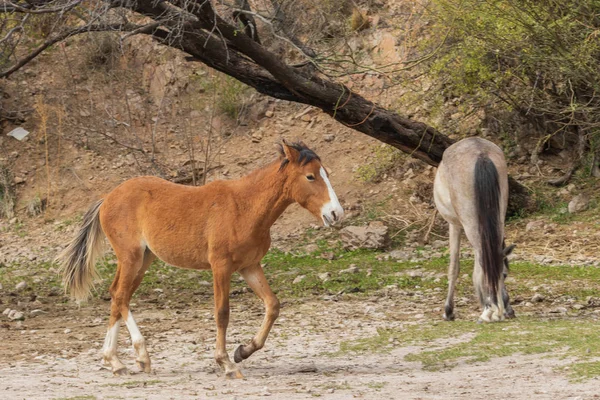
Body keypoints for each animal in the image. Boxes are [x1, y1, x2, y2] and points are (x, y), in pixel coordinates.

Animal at [58, 141, 344, 378]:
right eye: (310, 176)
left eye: (327, 174)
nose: (336, 214)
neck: (244, 207)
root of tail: (107, 198)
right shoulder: (221, 267)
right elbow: (222, 313)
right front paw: (226, 364)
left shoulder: (249, 266)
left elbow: (272, 305)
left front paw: (243, 351)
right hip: (131, 257)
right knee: (119, 296)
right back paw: (138, 356)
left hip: (143, 260)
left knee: (119, 295)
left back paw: (114, 360)